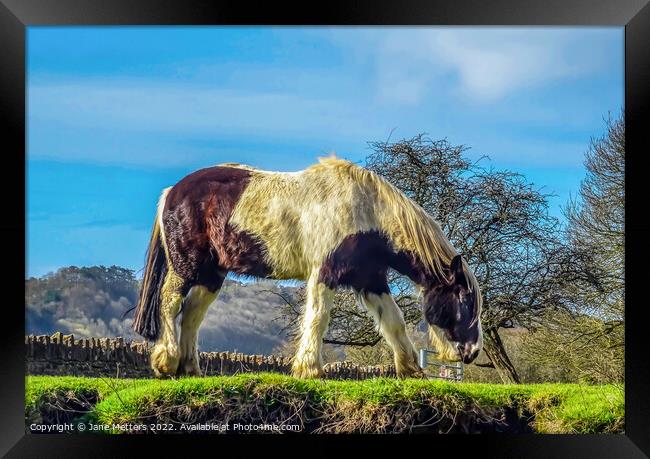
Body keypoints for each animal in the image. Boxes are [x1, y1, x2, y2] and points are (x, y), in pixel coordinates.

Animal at [132, 156, 480, 380]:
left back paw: (190, 368)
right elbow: (317, 317)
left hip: (211, 274)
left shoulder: (370, 279)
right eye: (464, 300)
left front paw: (411, 370)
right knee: (170, 302)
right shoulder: (325, 273)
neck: (363, 209)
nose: (472, 352)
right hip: (186, 266)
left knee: (192, 313)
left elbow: (393, 322)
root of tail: (171, 193)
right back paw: (166, 362)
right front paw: (309, 369)